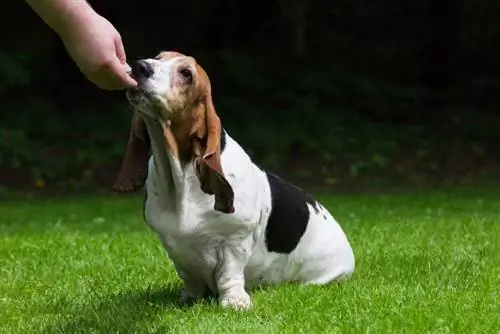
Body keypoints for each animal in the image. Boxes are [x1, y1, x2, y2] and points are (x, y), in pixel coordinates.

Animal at [113, 51, 356, 310]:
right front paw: (189, 297)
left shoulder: (235, 241)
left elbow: (229, 274)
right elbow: (189, 277)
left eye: (186, 74)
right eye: (158, 57)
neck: (182, 172)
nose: (139, 67)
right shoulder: (173, 246)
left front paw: (235, 302)